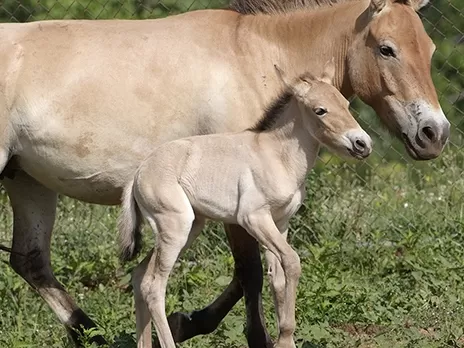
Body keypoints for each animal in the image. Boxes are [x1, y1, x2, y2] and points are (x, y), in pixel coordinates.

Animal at [120, 62, 374, 348]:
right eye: (320, 110)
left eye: (346, 104)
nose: (363, 144)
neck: (277, 156)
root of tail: (138, 173)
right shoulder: (253, 218)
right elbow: (292, 261)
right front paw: (285, 338)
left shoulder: (280, 223)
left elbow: (278, 277)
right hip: (175, 228)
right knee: (153, 286)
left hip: (189, 228)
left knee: (139, 276)